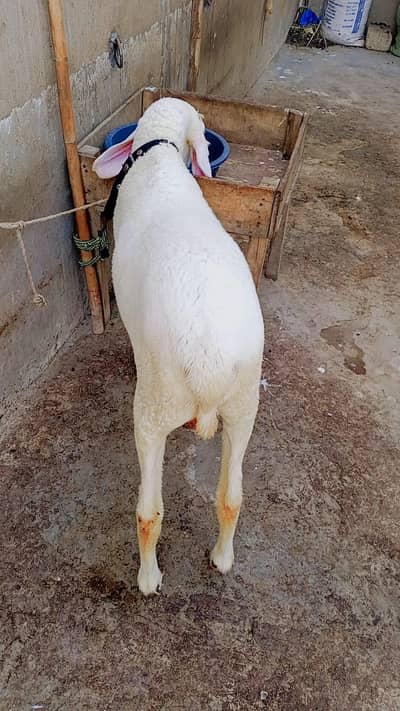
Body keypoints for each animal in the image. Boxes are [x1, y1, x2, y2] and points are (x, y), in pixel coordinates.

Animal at [93, 97, 264, 596]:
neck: (158, 152)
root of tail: (208, 364)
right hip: (244, 405)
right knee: (231, 497)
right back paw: (222, 558)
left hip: (153, 408)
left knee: (148, 512)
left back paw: (148, 578)